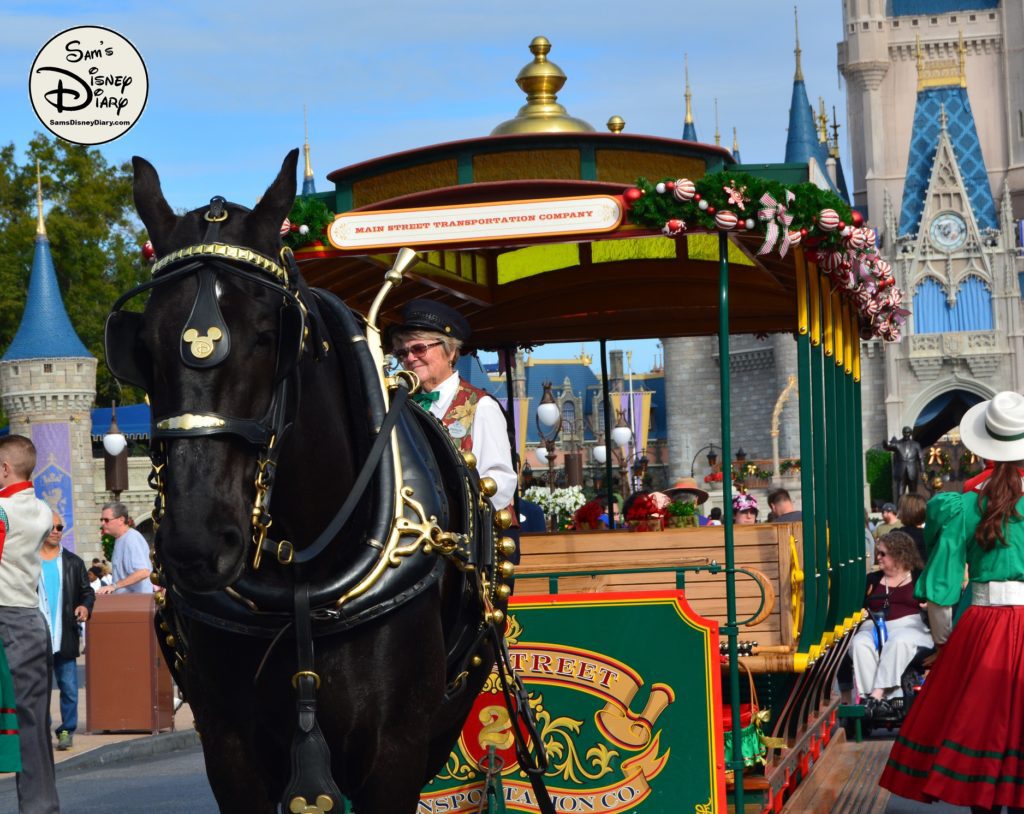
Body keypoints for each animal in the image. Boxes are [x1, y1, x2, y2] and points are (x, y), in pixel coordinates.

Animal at [107, 149, 516, 810]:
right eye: (141, 345)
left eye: (270, 336)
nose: (197, 541)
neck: (299, 578)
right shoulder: (230, 753)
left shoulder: (396, 754)